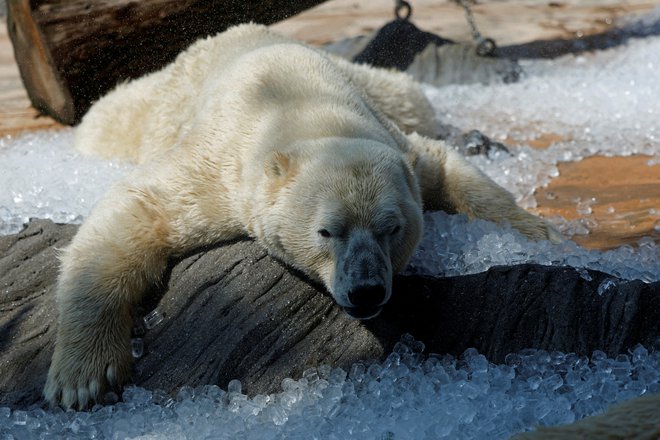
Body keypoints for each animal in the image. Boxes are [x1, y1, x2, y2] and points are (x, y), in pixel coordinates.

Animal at [45, 24, 564, 410]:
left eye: (392, 229)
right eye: (327, 231)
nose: (367, 290)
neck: (299, 104)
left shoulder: (398, 145)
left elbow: (444, 167)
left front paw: (540, 234)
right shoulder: (224, 168)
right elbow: (140, 206)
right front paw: (83, 378)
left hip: (381, 87)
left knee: (413, 97)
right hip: (156, 105)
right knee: (106, 119)